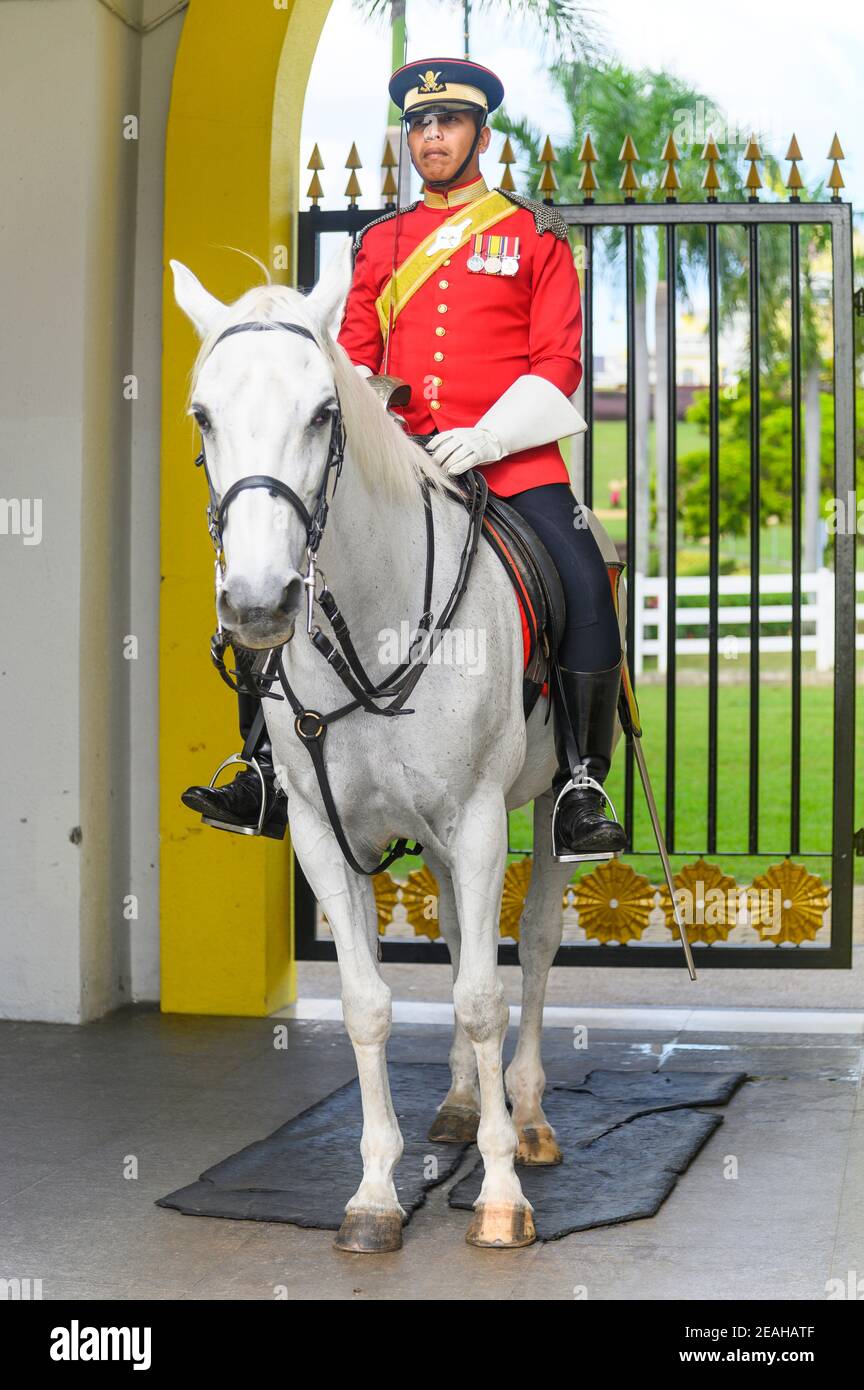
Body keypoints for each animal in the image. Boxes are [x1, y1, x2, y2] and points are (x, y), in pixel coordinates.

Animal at [172, 244, 625, 1256]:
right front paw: (376, 1192)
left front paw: (500, 1195)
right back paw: (460, 1105)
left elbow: (483, 996)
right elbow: (369, 1003)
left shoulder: (480, 820)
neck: (372, 624)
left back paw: (526, 1118)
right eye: (203, 414)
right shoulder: (321, 830)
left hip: (542, 811)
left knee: (534, 944)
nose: (258, 604)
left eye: (322, 412)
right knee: (460, 934)